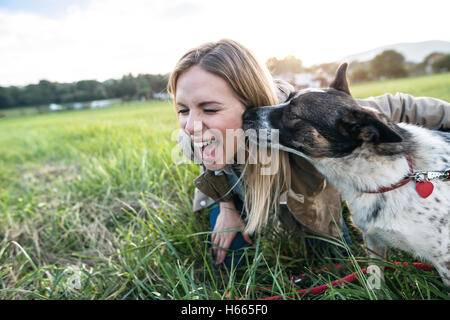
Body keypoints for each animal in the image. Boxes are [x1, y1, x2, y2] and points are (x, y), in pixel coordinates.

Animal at [243, 63, 450, 288]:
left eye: (292, 114)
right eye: (287, 98)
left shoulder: (445, 261)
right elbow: (375, 279)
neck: (397, 176)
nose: (246, 113)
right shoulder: (374, 242)